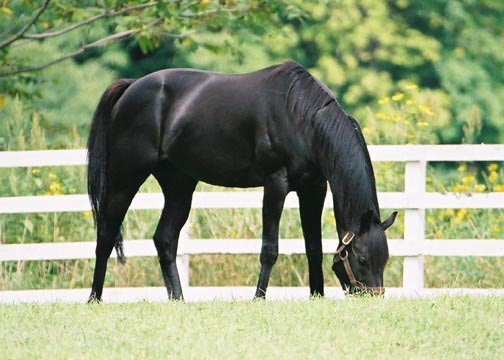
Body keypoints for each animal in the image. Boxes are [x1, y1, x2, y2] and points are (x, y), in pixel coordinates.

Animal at [86, 61, 396, 300]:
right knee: (106, 234)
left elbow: (313, 247)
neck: (300, 117)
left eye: (385, 259)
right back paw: (94, 298)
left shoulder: (314, 188)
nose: (373, 296)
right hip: (125, 179)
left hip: (179, 186)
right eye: (362, 259)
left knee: (164, 239)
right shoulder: (275, 184)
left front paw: (316, 296)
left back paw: (178, 299)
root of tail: (131, 86)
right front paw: (258, 298)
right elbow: (269, 249)